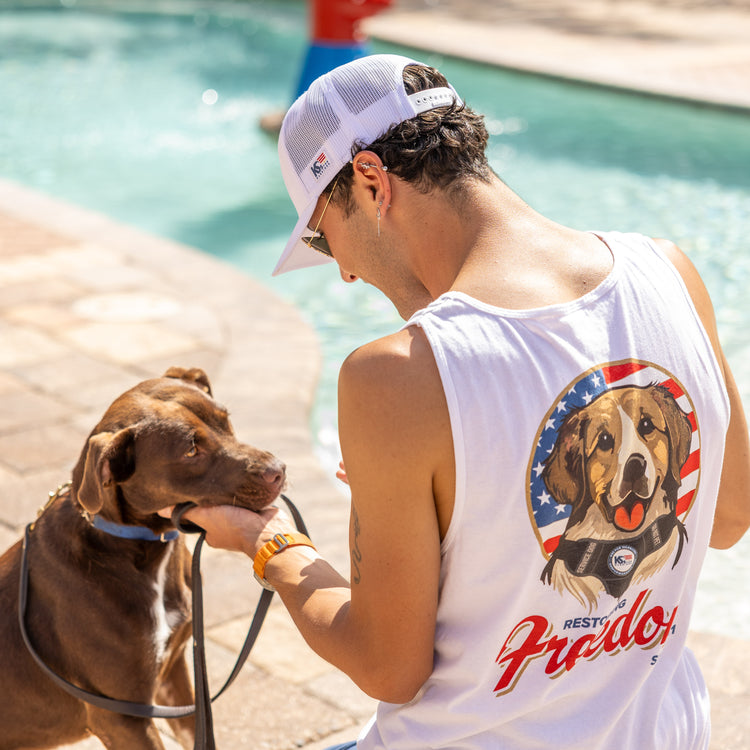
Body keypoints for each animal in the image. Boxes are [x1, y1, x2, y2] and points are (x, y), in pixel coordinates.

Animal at [0, 370, 284, 750]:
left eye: (226, 420)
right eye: (191, 450)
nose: (278, 470)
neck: (145, 552)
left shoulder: (175, 679)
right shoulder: (122, 717)